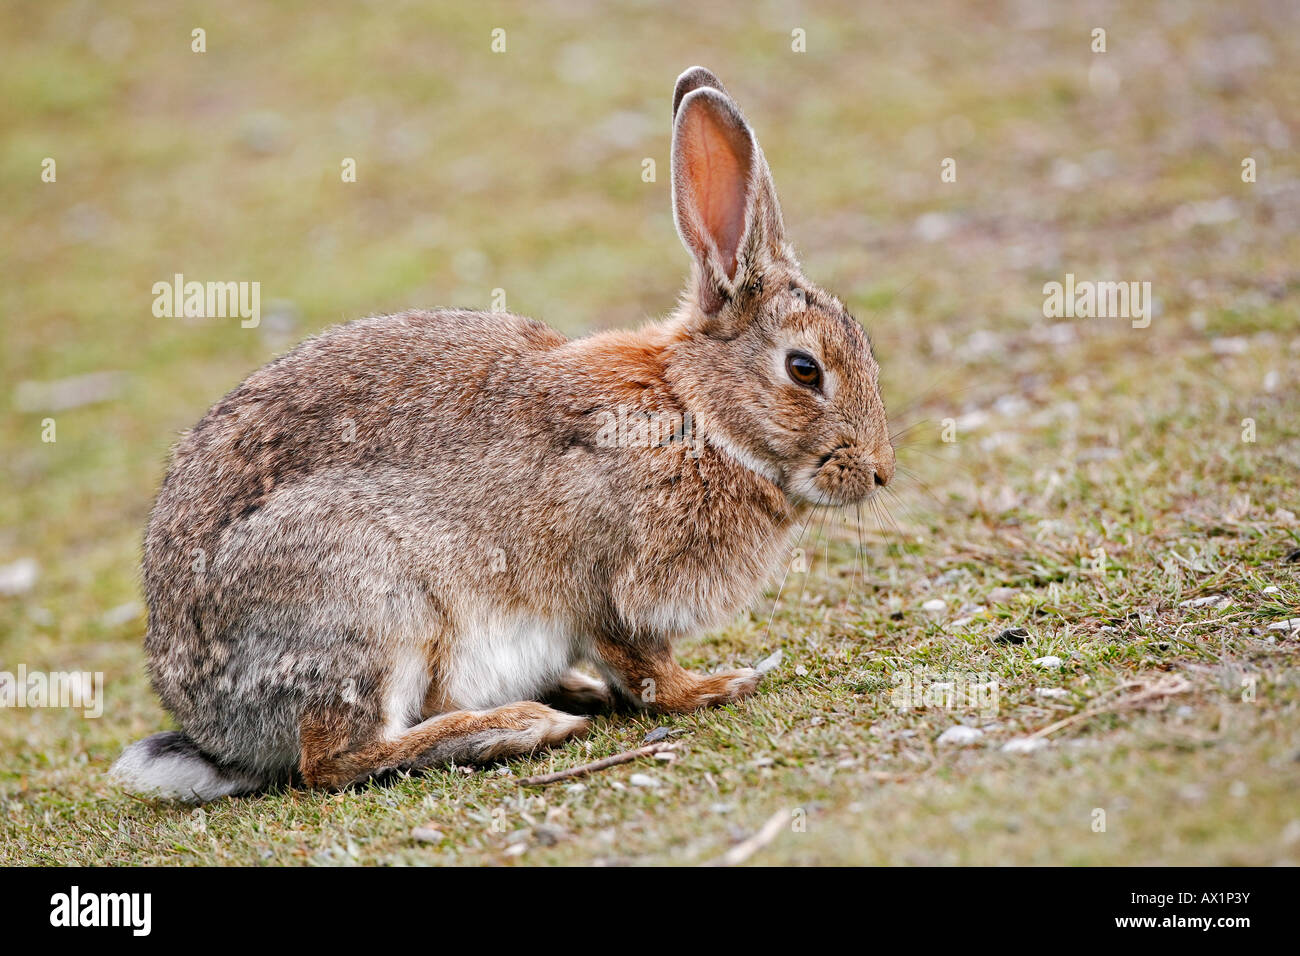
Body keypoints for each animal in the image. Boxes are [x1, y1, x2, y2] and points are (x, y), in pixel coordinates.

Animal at [110, 66, 895, 801]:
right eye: (804, 369)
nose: (879, 471)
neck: (696, 412)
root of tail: (214, 728)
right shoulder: (609, 586)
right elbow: (648, 669)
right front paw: (719, 685)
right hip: (369, 608)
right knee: (333, 760)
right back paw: (517, 727)